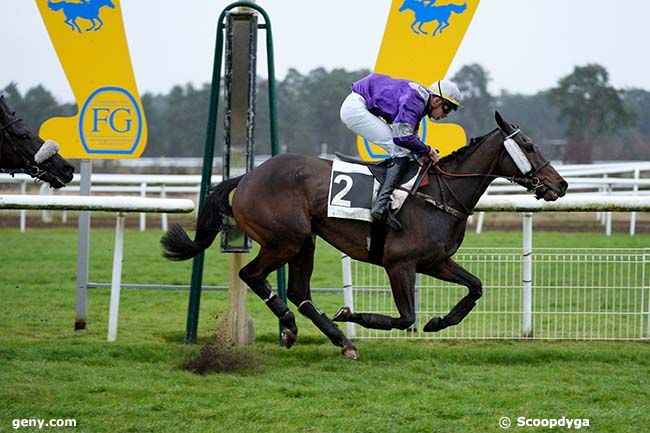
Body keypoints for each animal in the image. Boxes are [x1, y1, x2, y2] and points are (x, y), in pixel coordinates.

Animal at [163, 111, 568, 358]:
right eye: (529, 146)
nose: (560, 185)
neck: (440, 194)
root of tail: (247, 177)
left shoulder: (435, 261)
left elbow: (475, 287)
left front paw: (440, 322)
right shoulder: (399, 263)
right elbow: (405, 318)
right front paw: (351, 314)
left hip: (305, 241)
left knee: (299, 292)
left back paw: (338, 341)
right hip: (285, 240)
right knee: (253, 275)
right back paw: (296, 328)